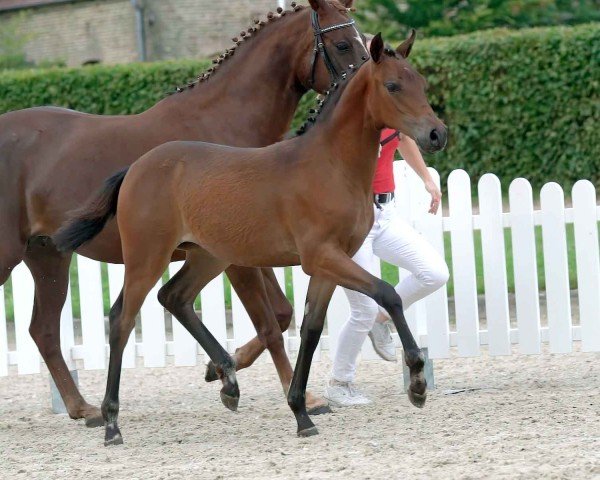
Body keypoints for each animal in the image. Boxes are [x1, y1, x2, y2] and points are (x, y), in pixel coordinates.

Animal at [56, 31, 446, 444]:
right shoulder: (322, 256)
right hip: (148, 257)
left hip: (209, 257)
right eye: (393, 86)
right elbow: (387, 295)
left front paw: (301, 413)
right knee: (122, 319)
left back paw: (227, 379)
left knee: (173, 297)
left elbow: (310, 328)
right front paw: (417, 381)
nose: (437, 134)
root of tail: (135, 168)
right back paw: (111, 422)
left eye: (421, 83)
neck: (329, 165)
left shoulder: (328, 265)